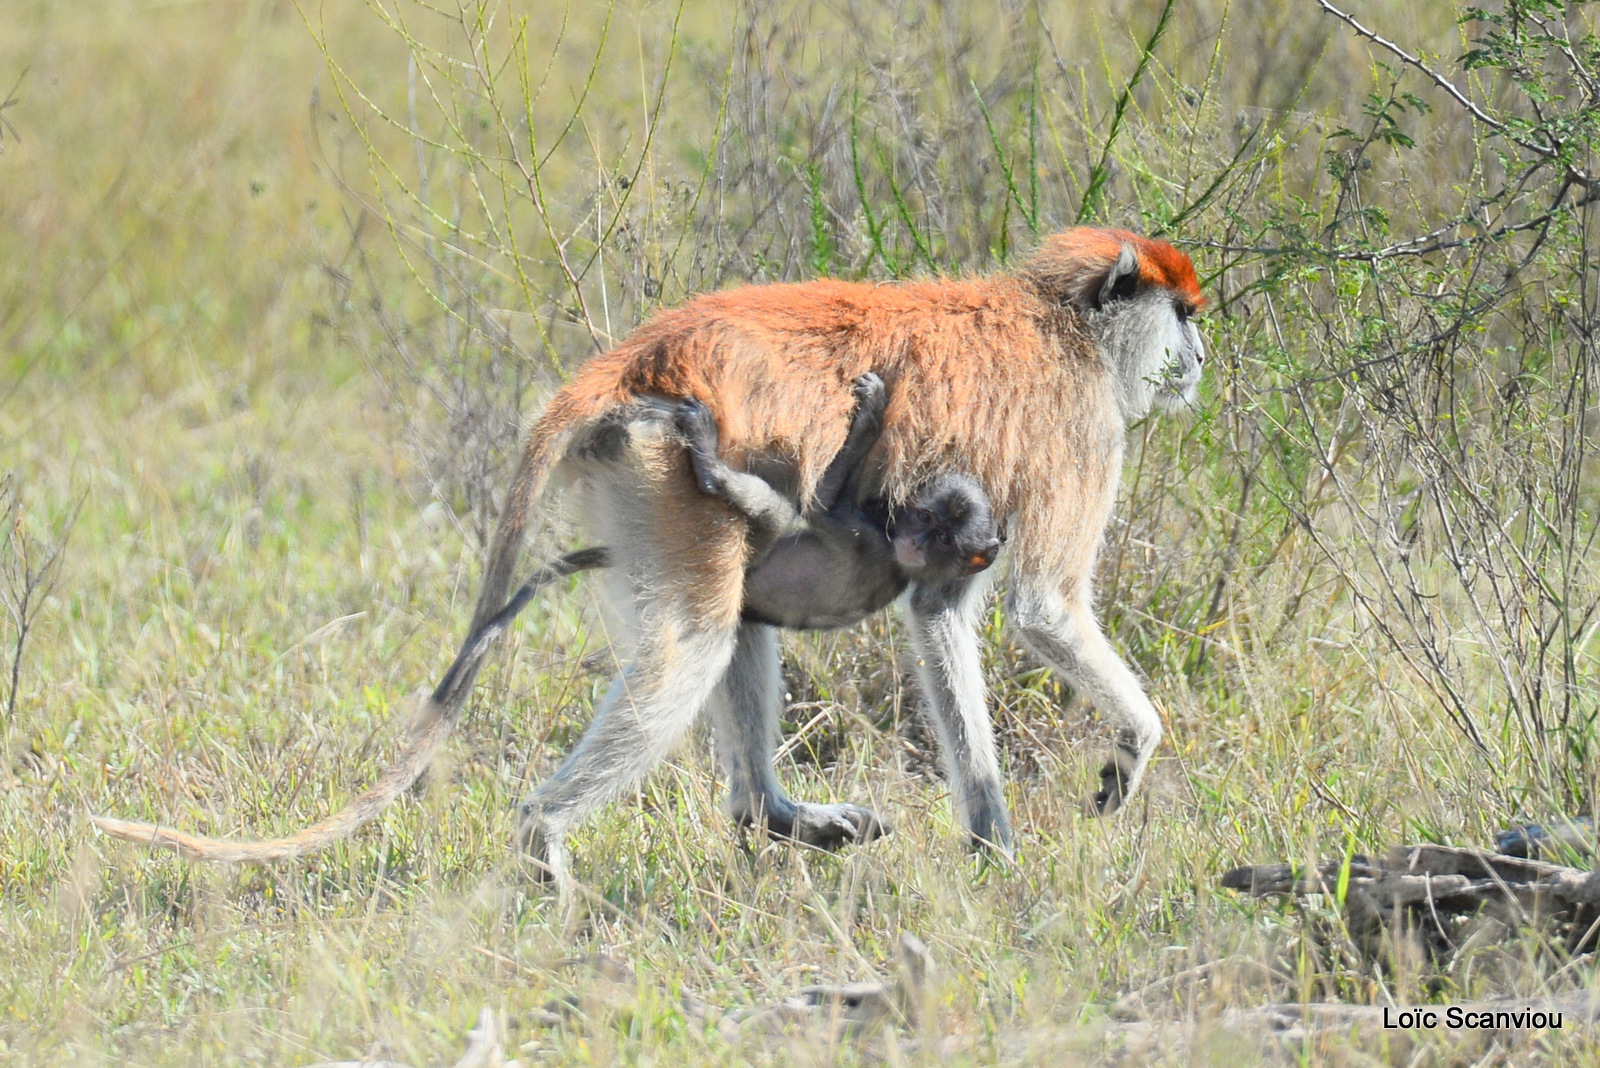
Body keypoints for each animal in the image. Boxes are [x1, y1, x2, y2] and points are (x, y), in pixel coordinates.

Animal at [675, 370, 998, 629]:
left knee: (777, 513)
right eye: (925, 517)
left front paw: (871, 414)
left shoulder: (865, 540)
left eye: (944, 539)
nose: (918, 543)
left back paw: (709, 462)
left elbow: (819, 505)